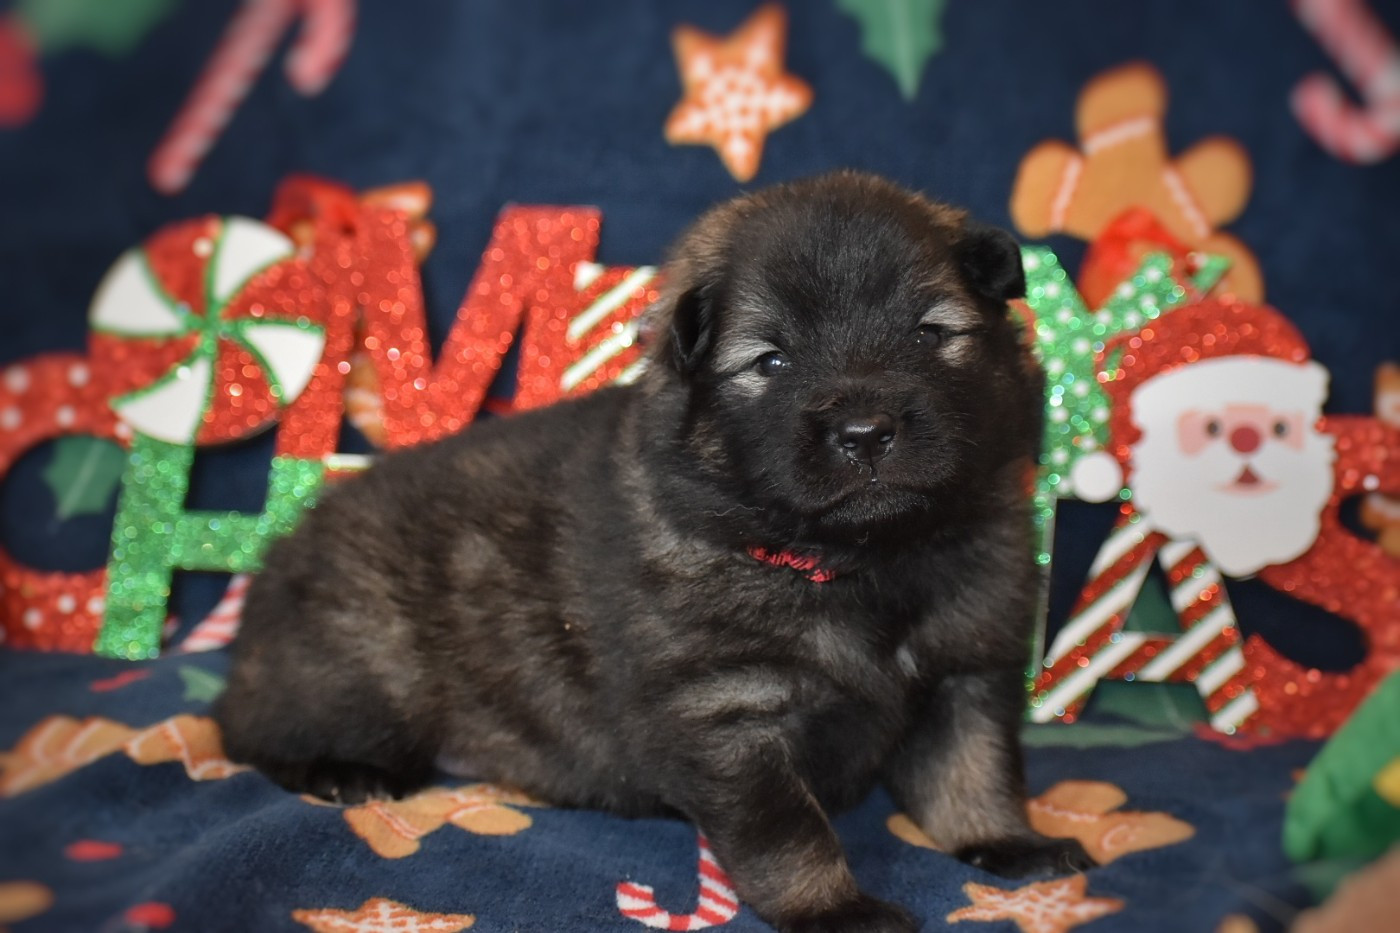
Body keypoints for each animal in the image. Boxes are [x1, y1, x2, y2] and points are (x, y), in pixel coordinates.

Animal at [215, 171, 1094, 932]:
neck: (860, 561)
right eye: (770, 360)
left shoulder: (965, 670)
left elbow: (974, 773)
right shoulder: (725, 714)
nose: (866, 431)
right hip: (364, 663)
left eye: (930, 332)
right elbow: (790, 832)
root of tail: (277, 557)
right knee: (252, 731)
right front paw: (834, 908)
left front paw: (1010, 841)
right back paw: (341, 771)